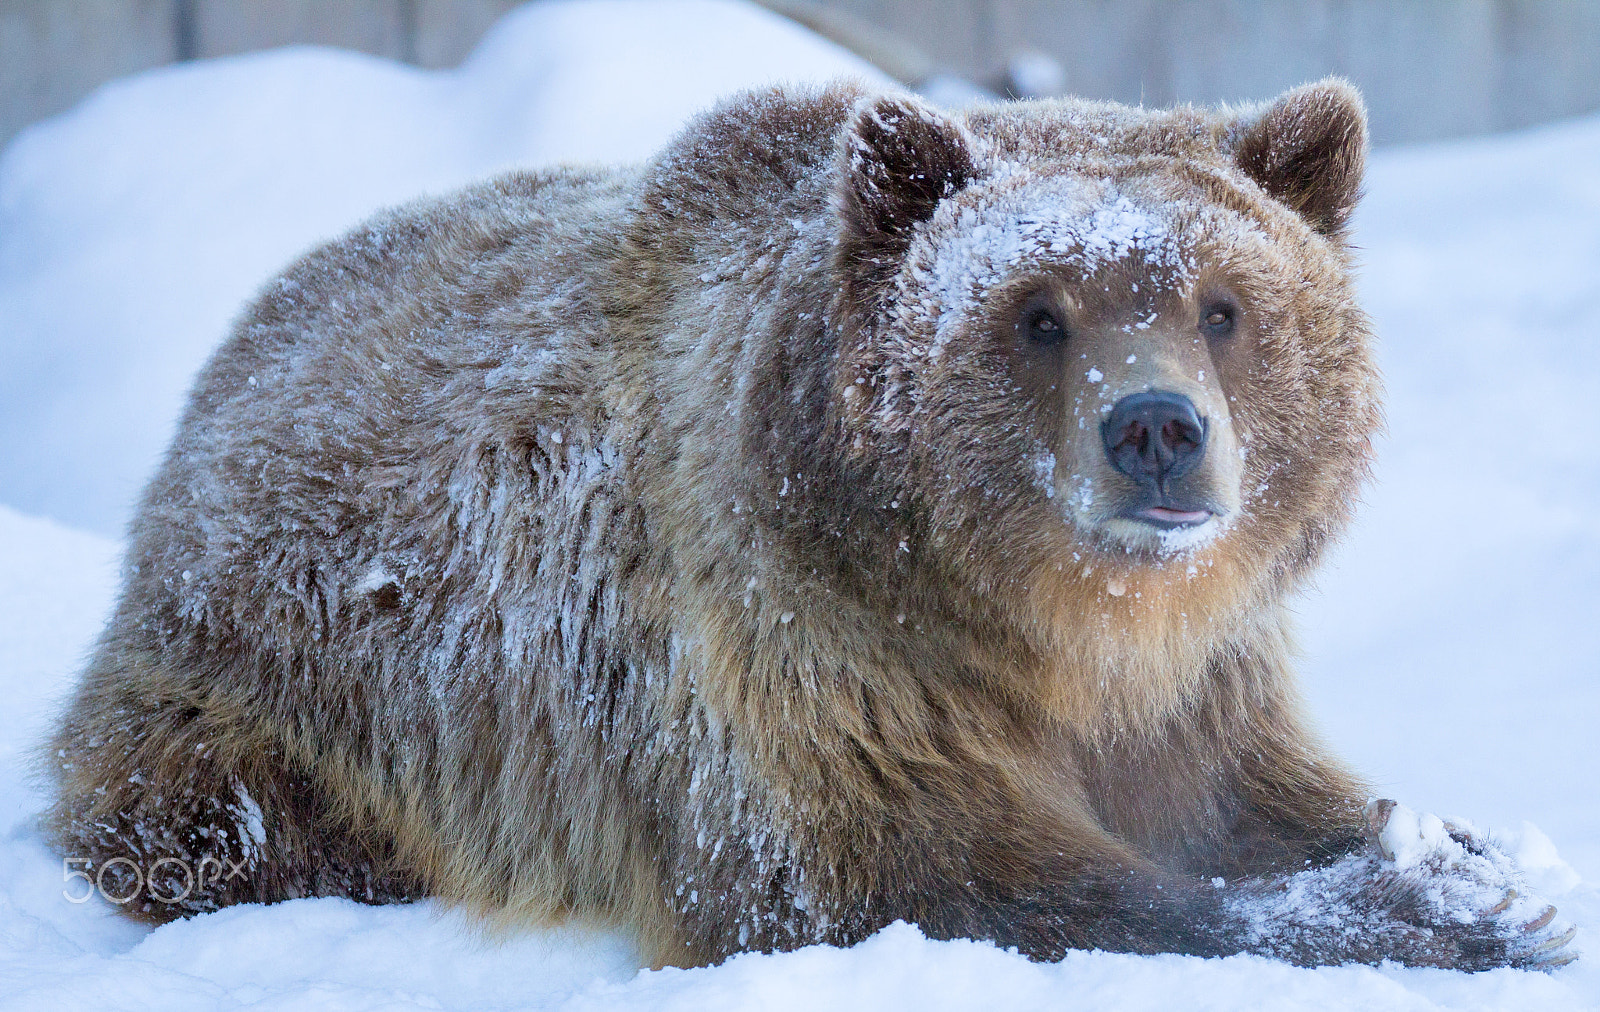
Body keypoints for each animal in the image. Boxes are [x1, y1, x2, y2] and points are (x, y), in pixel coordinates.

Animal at [43, 78, 1576, 972]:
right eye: (1038, 315)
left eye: (1224, 306)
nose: (1157, 430)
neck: (1039, 627)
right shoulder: (802, 663)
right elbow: (937, 869)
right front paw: (1440, 917)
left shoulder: (1191, 682)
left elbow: (1256, 793)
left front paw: (1480, 859)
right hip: (271, 688)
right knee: (232, 819)